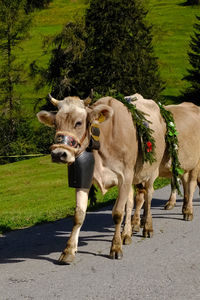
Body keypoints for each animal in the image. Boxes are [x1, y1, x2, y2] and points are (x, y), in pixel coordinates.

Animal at [37, 95, 166, 264]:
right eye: (55, 123)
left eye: (79, 122)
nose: (58, 154)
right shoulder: (84, 178)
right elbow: (79, 215)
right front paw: (69, 250)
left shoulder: (125, 176)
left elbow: (117, 213)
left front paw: (116, 248)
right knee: (132, 202)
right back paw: (127, 234)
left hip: (150, 171)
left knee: (148, 197)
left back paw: (147, 227)